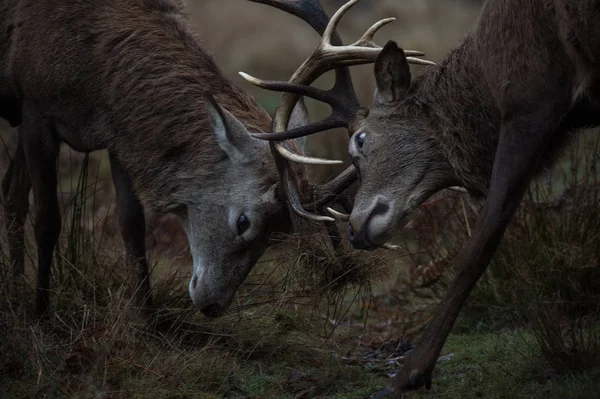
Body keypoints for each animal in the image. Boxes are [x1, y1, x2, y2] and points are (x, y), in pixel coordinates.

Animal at [1, 0, 422, 318]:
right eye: (244, 221)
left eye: (280, 235)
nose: (212, 306)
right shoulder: (35, 107)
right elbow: (48, 220)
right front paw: (41, 315)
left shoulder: (118, 135)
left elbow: (132, 225)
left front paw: (146, 321)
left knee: (11, 194)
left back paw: (14, 290)